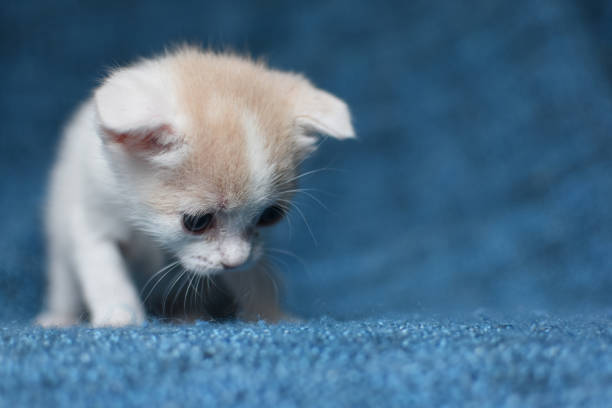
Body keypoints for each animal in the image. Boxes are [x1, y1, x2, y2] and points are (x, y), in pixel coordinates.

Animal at [34, 46, 354, 326]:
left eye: (270, 216)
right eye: (196, 222)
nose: (235, 261)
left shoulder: (251, 253)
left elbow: (254, 278)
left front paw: (269, 314)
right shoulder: (92, 215)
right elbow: (104, 267)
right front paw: (120, 317)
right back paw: (60, 318)